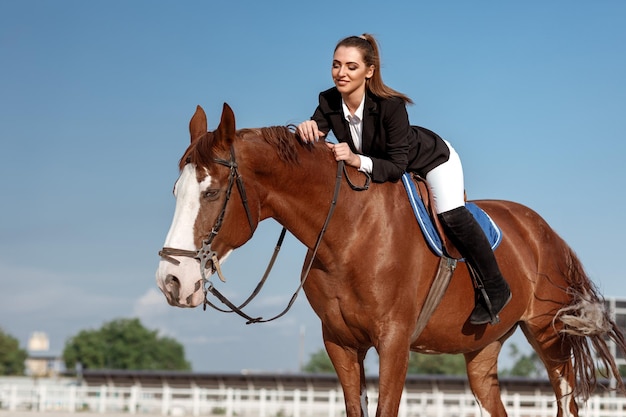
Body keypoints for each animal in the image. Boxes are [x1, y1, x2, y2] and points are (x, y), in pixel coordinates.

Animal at [156, 104, 624, 416]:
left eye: (212, 193)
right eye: (176, 192)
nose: (171, 281)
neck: (346, 230)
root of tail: (546, 233)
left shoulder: (394, 342)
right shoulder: (341, 344)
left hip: (548, 335)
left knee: (565, 399)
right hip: (482, 349)